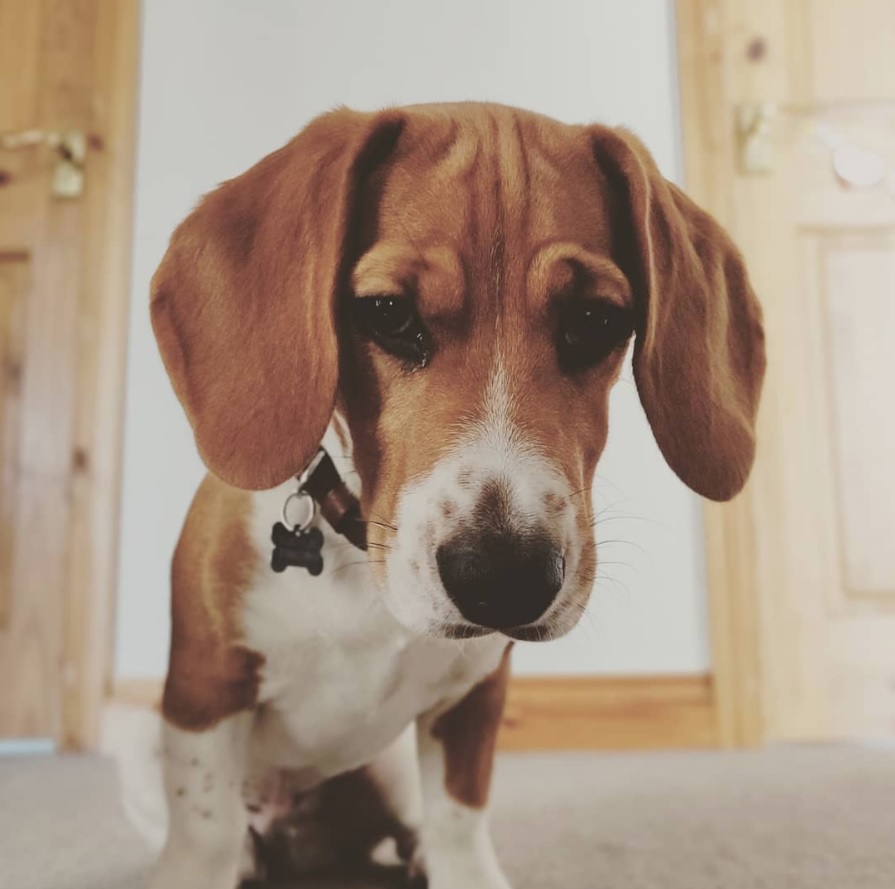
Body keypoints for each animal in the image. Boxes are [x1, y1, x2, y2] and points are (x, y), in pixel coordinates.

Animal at [145, 100, 764, 884]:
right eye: (386, 311)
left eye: (595, 321)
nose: (506, 579)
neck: (362, 565)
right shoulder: (202, 694)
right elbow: (206, 830)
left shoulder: (470, 702)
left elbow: (458, 824)